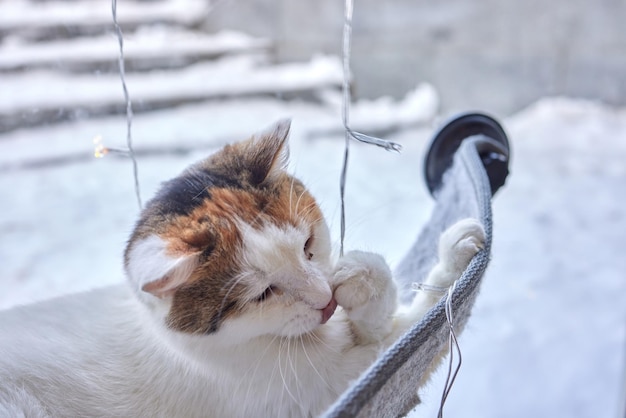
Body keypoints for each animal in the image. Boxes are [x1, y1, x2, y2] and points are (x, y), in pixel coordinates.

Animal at [0, 119, 482, 416]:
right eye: (261, 294)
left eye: (308, 245)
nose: (326, 300)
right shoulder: (332, 385)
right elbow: (415, 326)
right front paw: (384, 275)